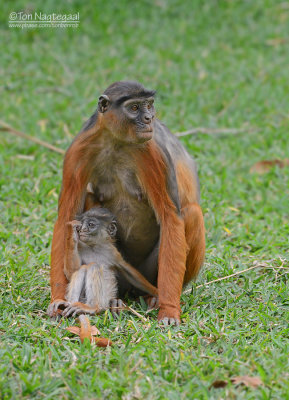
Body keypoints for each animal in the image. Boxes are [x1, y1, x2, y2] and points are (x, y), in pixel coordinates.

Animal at [49, 80, 205, 324]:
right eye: (134, 108)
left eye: (149, 105)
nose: (149, 118)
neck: (117, 142)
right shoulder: (79, 149)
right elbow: (66, 215)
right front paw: (57, 299)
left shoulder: (153, 151)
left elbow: (171, 216)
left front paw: (169, 309)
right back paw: (114, 300)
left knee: (191, 212)